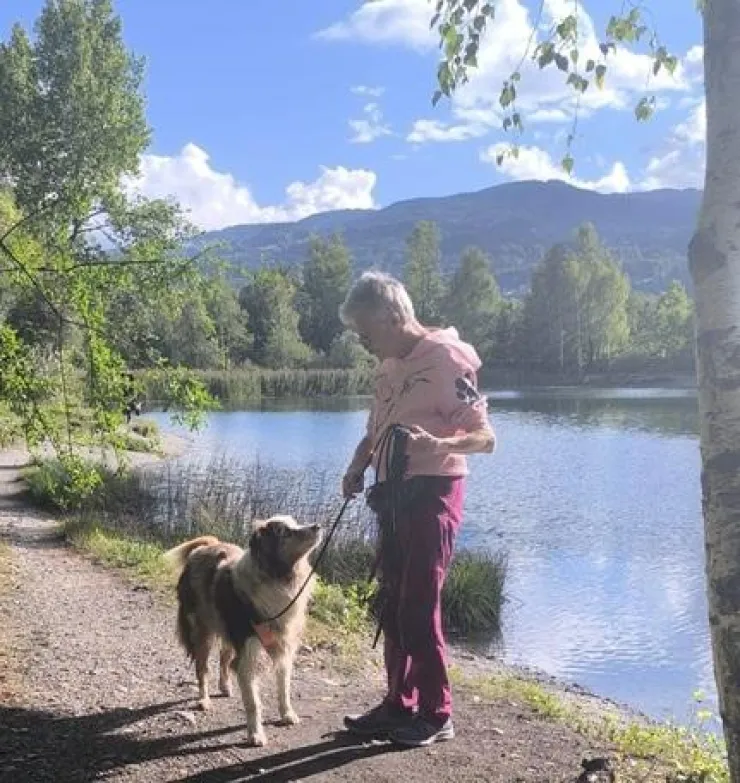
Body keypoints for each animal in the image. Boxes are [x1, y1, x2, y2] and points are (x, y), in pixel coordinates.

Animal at [162, 515, 322, 746]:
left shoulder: (283, 648)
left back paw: (225, 687)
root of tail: (207, 546)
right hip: (202, 631)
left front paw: (287, 714)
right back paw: (204, 700)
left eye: (295, 522)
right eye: (284, 531)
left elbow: (284, 688)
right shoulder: (248, 653)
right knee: (202, 668)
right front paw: (255, 734)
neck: (277, 578)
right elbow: (253, 702)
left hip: (226, 628)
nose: (317, 526)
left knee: (224, 657)